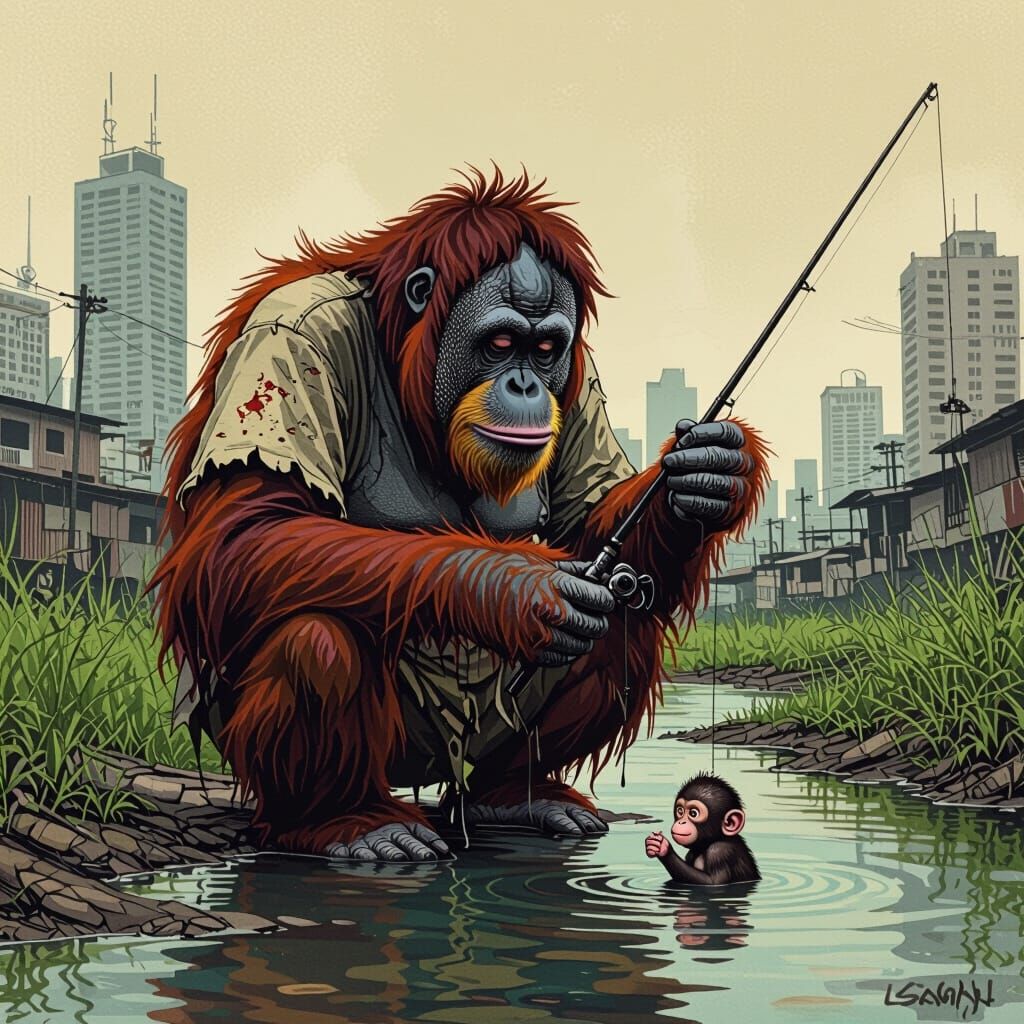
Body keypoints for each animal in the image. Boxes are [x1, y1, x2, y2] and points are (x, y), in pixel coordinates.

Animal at [153, 168, 770, 862]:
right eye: (501, 343)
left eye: (546, 348)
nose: (527, 385)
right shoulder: (286, 338)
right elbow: (247, 533)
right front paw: (516, 590)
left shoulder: (578, 379)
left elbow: (595, 532)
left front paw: (708, 473)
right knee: (316, 631)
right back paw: (347, 822)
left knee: (620, 624)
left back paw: (515, 795)